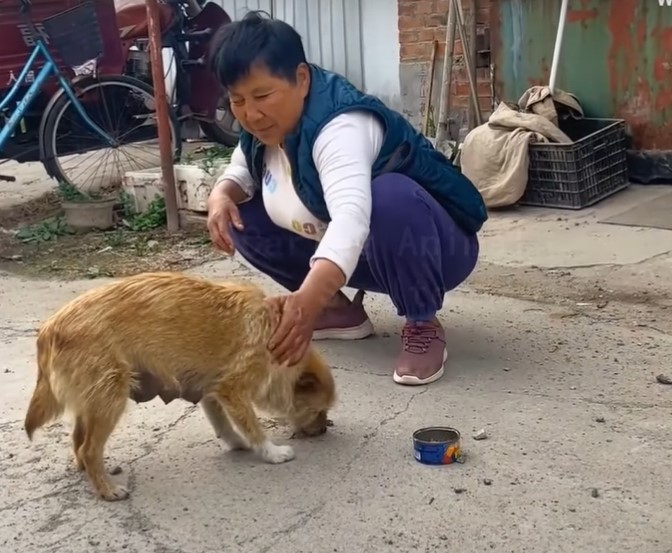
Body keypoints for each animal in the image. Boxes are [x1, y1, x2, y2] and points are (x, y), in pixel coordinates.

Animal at [23, 272, 336, 500]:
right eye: (318, 411)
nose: (323, 430)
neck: (274, 330)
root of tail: (49, 330)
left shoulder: (212, 391)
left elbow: (224, 425)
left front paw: (238, 443)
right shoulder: (233, 389)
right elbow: (253, 427)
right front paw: (270, 452)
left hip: (94, 401)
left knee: (79, 441)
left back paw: (91, 471)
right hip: (110, 397)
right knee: (89, 448)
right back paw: (106, 490)